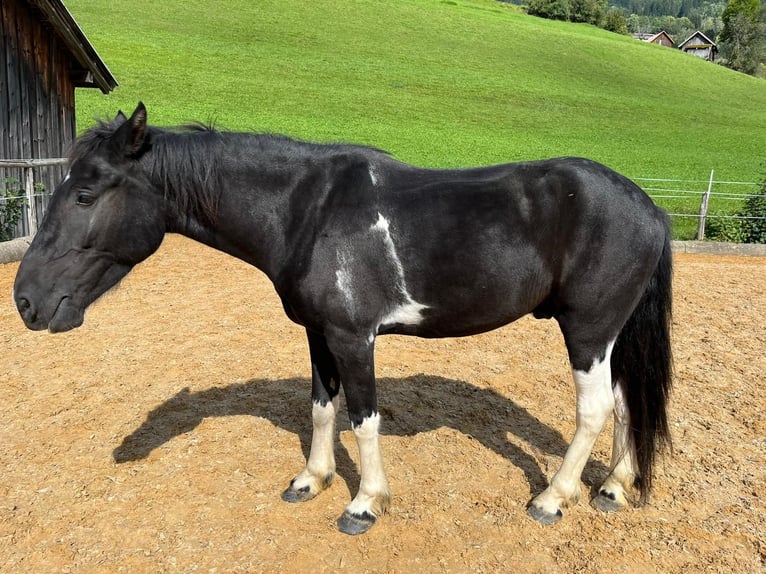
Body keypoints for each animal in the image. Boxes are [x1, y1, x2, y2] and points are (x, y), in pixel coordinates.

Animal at [12, 104, 672, 536]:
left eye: (85, 195)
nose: (25, 301)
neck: (307, 210)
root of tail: (648, 207)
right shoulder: (318, 333)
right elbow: (322, 408)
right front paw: (312, 480)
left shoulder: (355, 338)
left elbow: (364, 418)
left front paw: (364, 504)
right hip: (611, 335)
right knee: (626, 404)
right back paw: (613, 487)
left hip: (587, 330)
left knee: (595, 410)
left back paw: (553, 498)